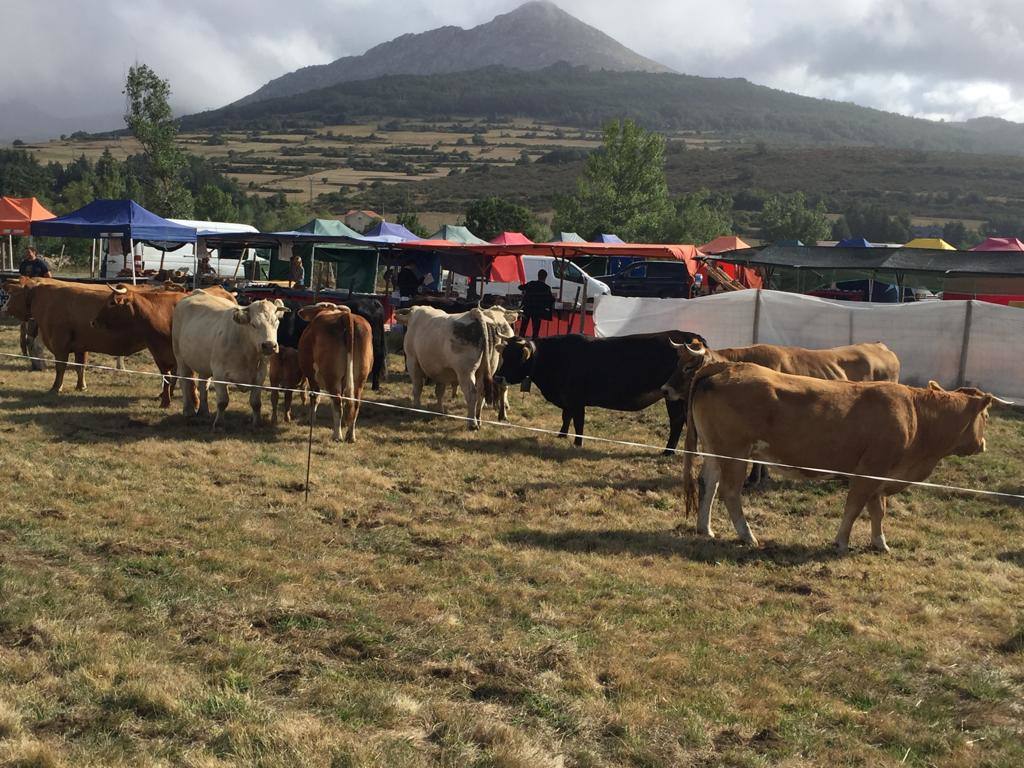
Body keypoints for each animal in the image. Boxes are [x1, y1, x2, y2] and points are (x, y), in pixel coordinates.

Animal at [169, 290, 286, 430]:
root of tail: (196, 292)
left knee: (203, 384)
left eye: (276, 323)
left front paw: (257, 423)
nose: (269, 345)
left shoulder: (260, 375)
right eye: (253, 324)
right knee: (184, 381)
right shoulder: (219, 374)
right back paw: (188, 411)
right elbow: (223, 401)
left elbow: (256, 402)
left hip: (204, 364)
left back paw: (204, 411)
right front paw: (219, 424)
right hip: (180, 357)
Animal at [299, 303, 374, 442]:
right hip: (359, 379)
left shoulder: (312, 378)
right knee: (354, 403)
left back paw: (337, 435)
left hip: (331, 377)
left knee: (337, 402)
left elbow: (315, 398)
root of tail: (346, 316)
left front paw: (311, 419)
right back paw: (350, 435)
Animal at [499, 331, 708, 454]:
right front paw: (561, 435)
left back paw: (668, 451)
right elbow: (566, 417)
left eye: (514, 357)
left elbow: (578, 421)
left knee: (677, 422)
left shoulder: (577, 399)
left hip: (673, 397)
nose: (497, 376)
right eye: (504, 354)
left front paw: (578, 443)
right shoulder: (567, 399)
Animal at [679, 364, 999, 557]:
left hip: (715, 450)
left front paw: (880, 542)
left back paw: (705, 528)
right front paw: (842, 542)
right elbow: (855, 507)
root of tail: (727, 366)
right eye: (985, 415)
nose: (984, 445)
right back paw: (747, 536)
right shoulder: (870, 471)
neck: (917, 415)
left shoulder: (879, 476)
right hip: (735, 451)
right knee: (730, 492)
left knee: (709, 484)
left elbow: (877, 510)